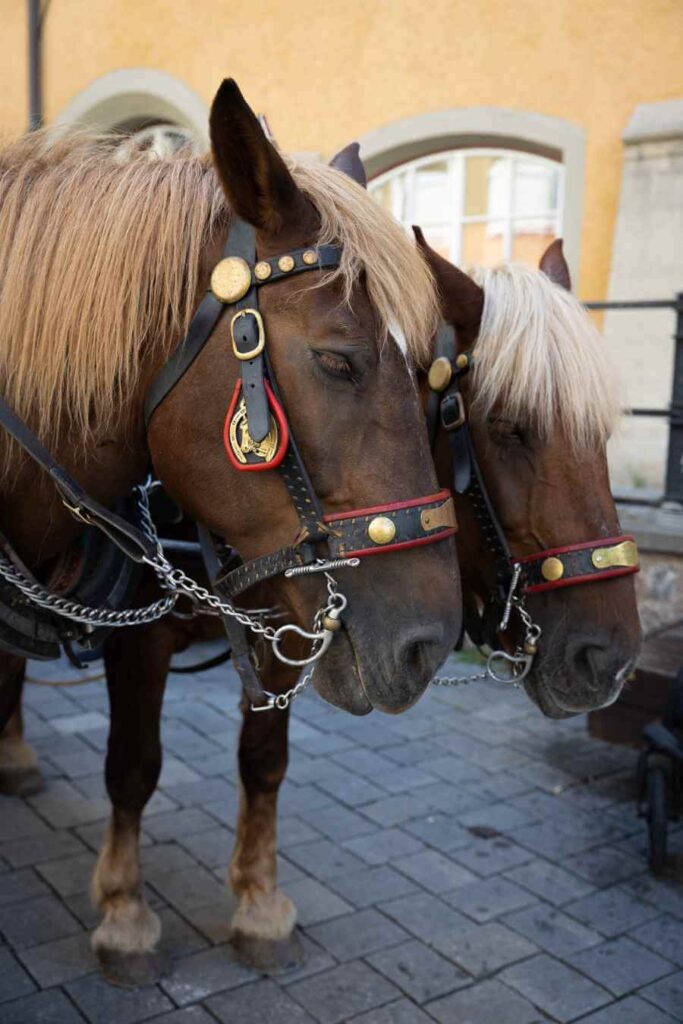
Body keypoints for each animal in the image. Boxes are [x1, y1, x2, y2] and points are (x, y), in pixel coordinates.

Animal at [0, 83, 462, 984]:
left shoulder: (283, 617)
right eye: (338, 359)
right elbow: (134, 765)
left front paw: (257, 904)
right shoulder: (140, 639)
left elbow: (263, 759)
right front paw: (125, 914)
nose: (430, 642)